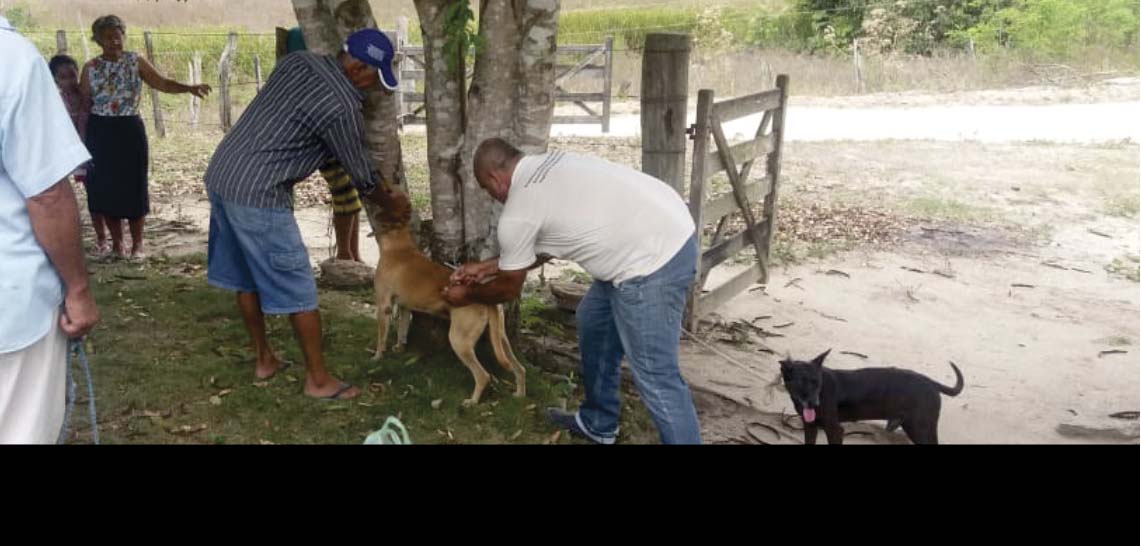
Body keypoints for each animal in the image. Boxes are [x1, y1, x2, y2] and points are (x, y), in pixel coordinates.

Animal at [369, 188, 524, 405]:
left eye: (388, 194)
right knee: (520, 368)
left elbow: (381, 337)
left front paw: (377, 357)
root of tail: (487, 300)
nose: (370, 192)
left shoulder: (383, 305)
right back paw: (519, 394)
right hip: (501, 338)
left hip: (459, 340)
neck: (398, 243)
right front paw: (399, 348)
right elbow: (402, 329)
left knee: (483, 375)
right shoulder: (405, 307)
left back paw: (472, 402)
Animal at [775, 351, 963, 444]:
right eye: (801, 382)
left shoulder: (835, 429)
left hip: (921, 429)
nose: (814, 403)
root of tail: (932, 382)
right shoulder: (810, 427)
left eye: (817, 382)